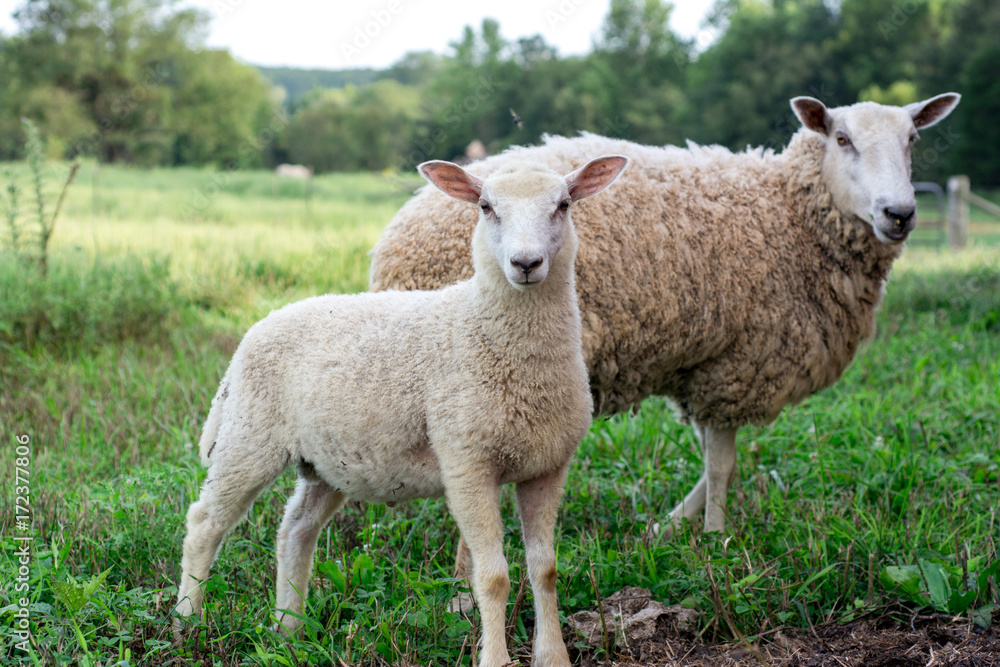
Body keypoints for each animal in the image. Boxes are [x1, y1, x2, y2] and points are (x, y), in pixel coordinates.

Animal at [171, 154, 624, 664]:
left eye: (564, 205)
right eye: (486, 207)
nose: (525, 263)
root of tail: (258, 327)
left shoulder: (548, 467)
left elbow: (544, 569)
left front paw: (553, 655)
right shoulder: (466, 463)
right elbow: (493, 576)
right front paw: (495, 657)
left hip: (326, 461)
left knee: (295, 529)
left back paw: (289, 629)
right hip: (249, 436)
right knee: (205, 522)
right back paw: (188, 622)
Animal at [368, 92, 960, 544]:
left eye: (913, 139)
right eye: (842, 139)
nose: (900, 213)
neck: (788, 215)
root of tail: (393, 247)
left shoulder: (706, 365)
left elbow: (711, 457)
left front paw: (669, 527)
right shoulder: (739, 363)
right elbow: (722, 463)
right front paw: (716, 539)